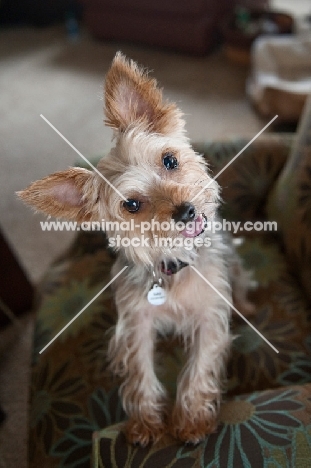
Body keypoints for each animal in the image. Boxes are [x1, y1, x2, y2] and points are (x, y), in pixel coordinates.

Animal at [18, 54, 254, 446]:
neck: (171, 265)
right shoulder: (135, 323)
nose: (186, 211)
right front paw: (145, 424)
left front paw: (191, 420)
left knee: (242, 279)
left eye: (170, 161)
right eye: (131, 205)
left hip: (232, 265)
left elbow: (200, 365)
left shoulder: (209, 315)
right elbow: (140, 372)